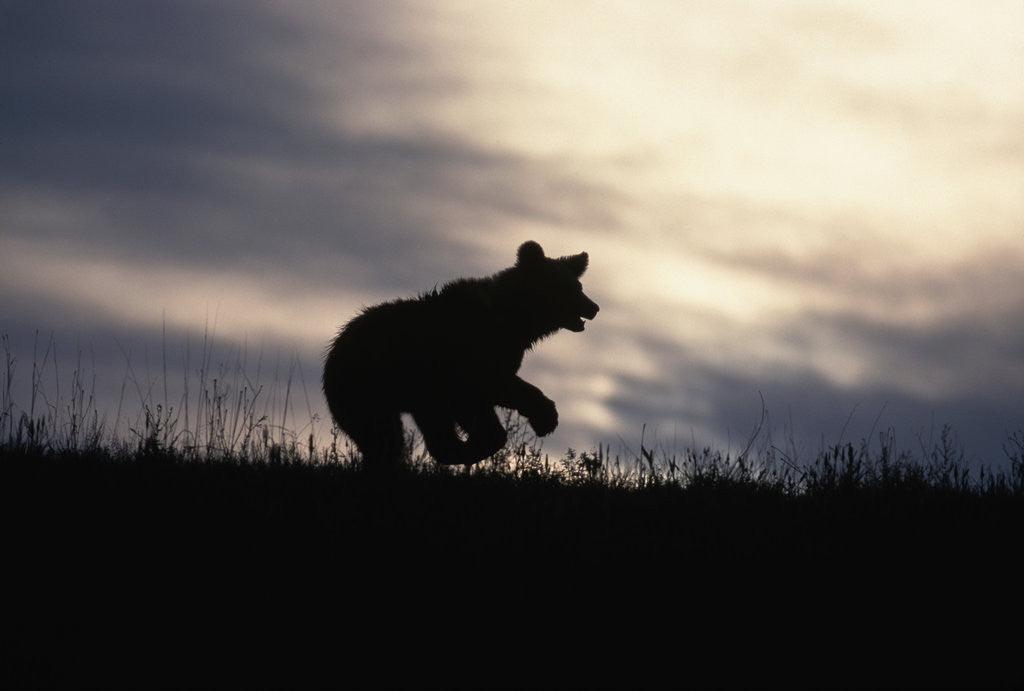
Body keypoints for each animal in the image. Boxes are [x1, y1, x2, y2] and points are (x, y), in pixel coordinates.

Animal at [322, 240, 599, 470]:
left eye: (579, 286)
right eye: (569, 288)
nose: (594, 307)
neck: (512, 320)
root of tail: (334, 349)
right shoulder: (467, 360)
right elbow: (493, 391)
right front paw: (544, 418)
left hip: (411, 397)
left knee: (396, 437)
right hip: (369, 388)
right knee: (381, 437)